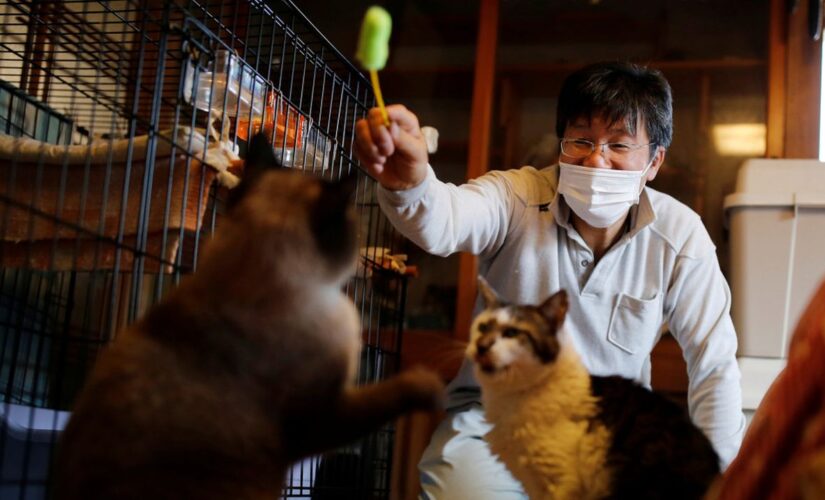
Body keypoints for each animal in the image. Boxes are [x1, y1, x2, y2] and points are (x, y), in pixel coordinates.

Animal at [466, 278, 716, 500]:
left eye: (511, 333)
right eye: (483, 327)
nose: (481, 345)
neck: (512, 396)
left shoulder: (562, 483)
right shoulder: (534, 484)